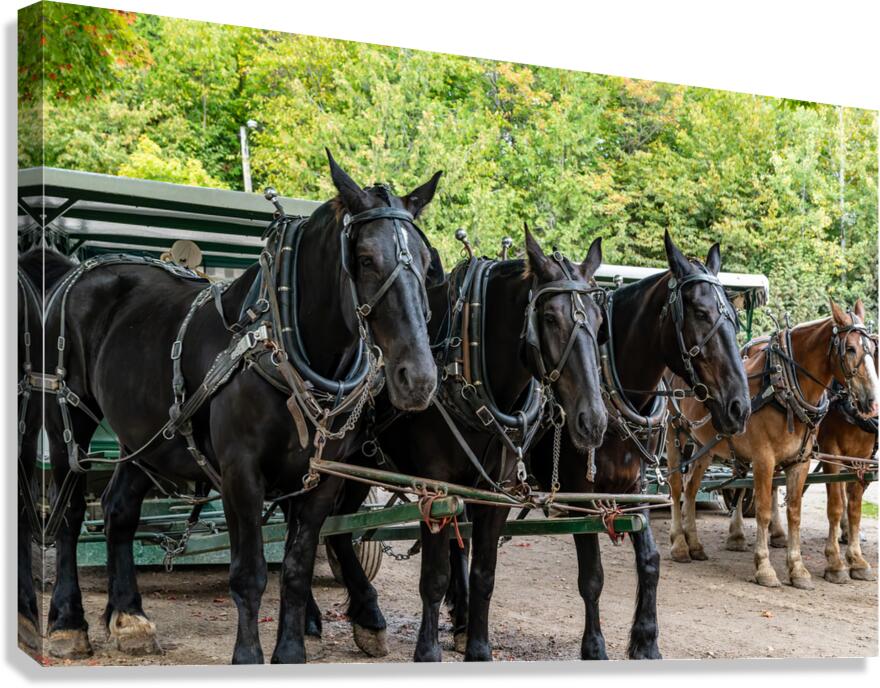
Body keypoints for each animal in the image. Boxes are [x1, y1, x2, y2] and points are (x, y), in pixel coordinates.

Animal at [40, 151, 442, 663]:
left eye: (428, 264)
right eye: (366, 259)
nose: (419, 379)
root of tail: (81, 270)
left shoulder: (323, 479)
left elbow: (296, 569)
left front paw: (290, 653)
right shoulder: (240, 471)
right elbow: (249, 574)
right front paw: (249, 656)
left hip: (145, 435)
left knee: (118, 509)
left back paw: (128, 616)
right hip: (67, 416)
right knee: (70, 514)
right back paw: (69, 622)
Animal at [315, 228, 608, 662]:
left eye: (601, 321)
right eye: (550, 318)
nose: (594, 420)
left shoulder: (493, 492)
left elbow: (484, 574)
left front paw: (478, 648)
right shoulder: (435, 487)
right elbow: (434, 577)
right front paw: (427, 651)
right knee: (327, 527)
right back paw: (355, 616)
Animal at [666, 299, 877, 590]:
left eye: (873, 349)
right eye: (850, 348)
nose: (872, 401)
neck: (782, 387)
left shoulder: (804, 461)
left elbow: (798, 513)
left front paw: (799, 569)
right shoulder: (765, 459)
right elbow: (765, 511)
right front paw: (765, 568)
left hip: (703, 445)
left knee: (691, 488)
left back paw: (695, 544)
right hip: (675, 431)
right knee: (677, 487)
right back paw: (679, 544)